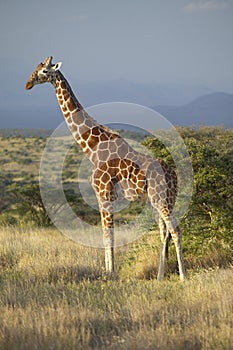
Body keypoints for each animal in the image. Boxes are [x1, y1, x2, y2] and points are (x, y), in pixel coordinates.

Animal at [25, 57, 186, 282]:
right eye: (36, 68)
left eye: (44, 71)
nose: (28, 84)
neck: (92, 148)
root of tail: (174, 175)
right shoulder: (104, 196)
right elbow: (107, 235)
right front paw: (109, 271)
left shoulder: (104, 194)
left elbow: (108, 235)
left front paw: (110, 273)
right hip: (158, 199)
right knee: (165, 231)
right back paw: (160, 276)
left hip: (162, 198)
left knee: (176, 230)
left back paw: (183, 277)